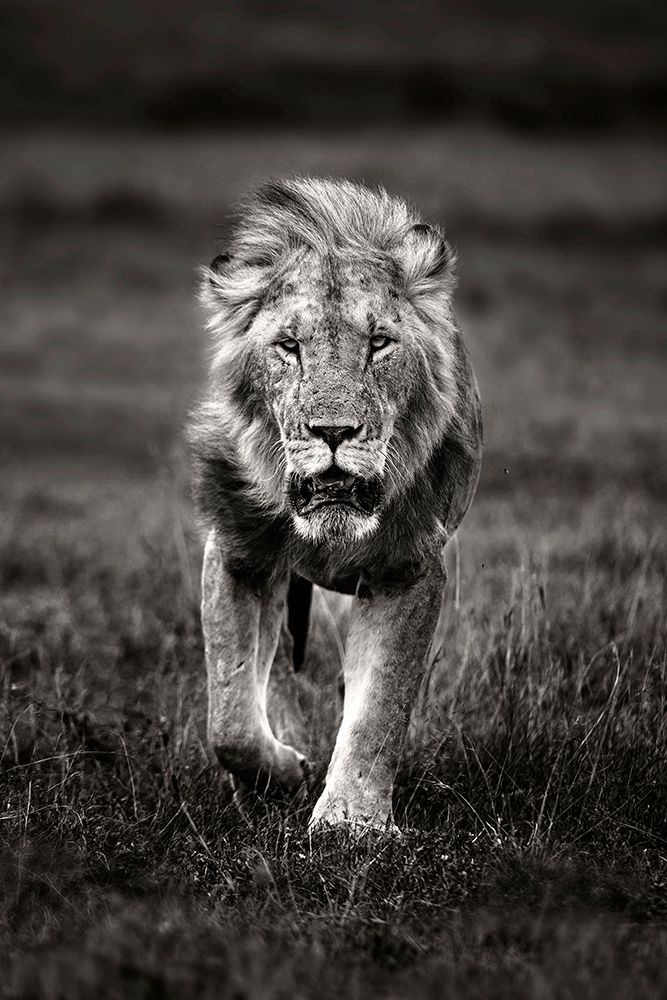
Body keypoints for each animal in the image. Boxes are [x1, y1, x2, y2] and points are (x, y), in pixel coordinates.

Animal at [187, 177, 482, 833]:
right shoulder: (239, 553)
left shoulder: (406, 569)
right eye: (288, 346)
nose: (333, 432)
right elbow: (229, 717)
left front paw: (352, 822)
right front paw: (281, 777)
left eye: (379, 344)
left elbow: (380, 709)